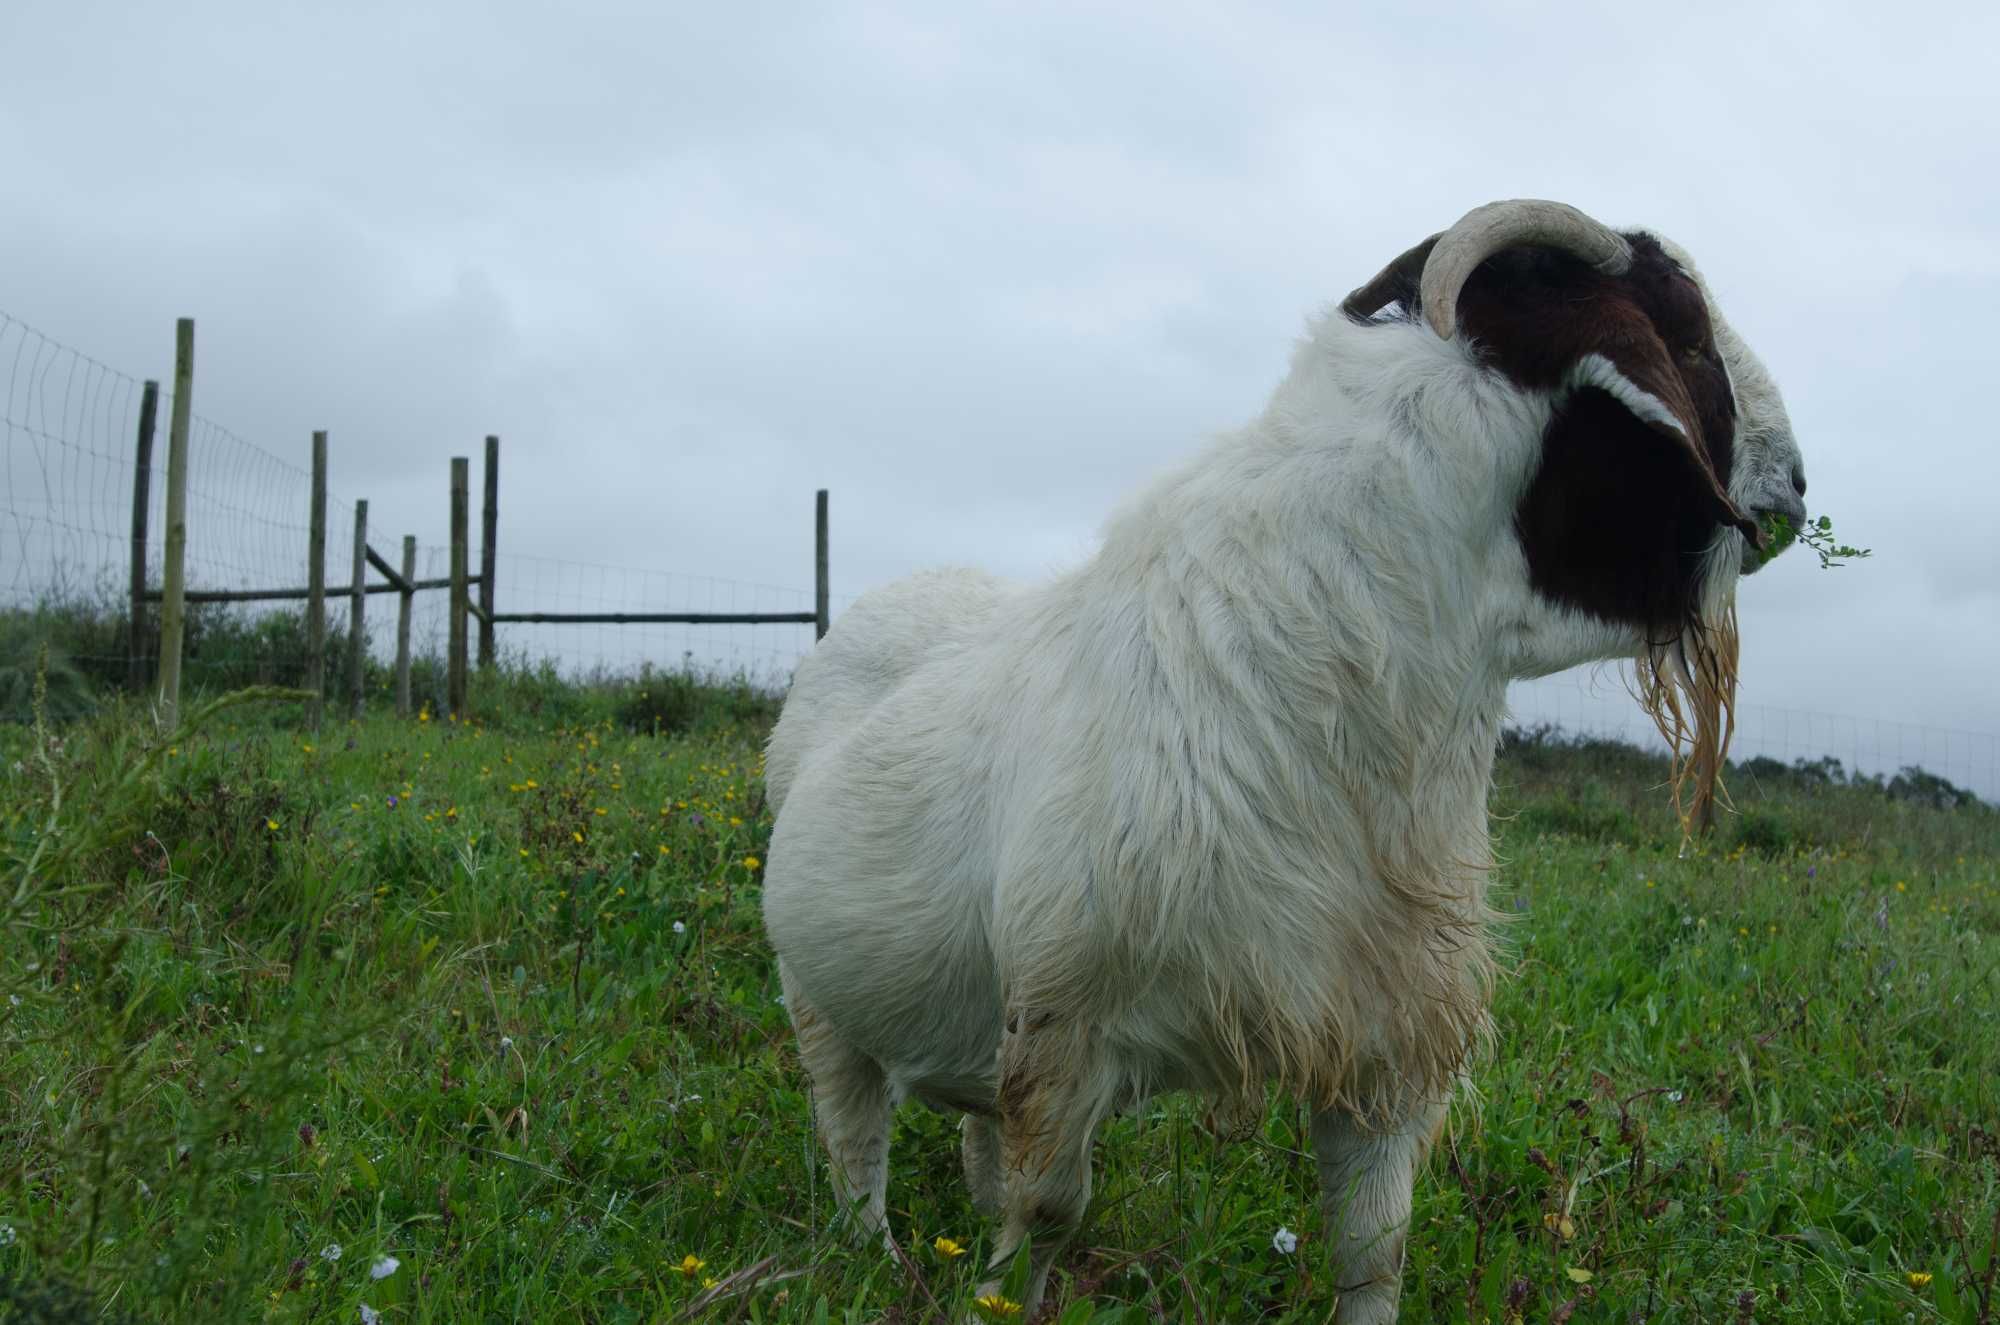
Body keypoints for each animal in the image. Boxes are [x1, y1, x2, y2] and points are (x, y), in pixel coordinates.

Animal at [752, 202, 1816, 1320]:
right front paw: (999, 1297)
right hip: (812, 990)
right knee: (853, 1137)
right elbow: (1045, 1214)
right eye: (1684, 333)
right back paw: (873, 1258)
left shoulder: (1387, 1043)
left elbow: (1375, 1245)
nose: (1797, 483)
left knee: (974, 1140)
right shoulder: (1061, 1028)